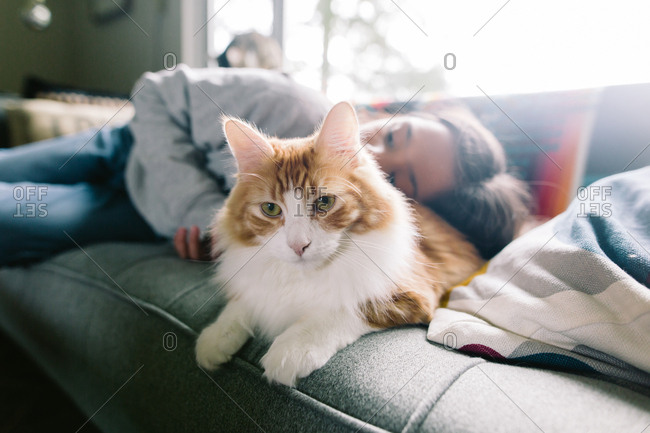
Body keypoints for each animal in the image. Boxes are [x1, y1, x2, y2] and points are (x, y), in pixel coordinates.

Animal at [195, 101, 484, 384]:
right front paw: (215, 338)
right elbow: (241, 304)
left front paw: (292, 349)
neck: (305, 278)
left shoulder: (411, 291)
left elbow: (344, 310)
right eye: (270, 209)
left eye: (324, 202)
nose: (298, 246)